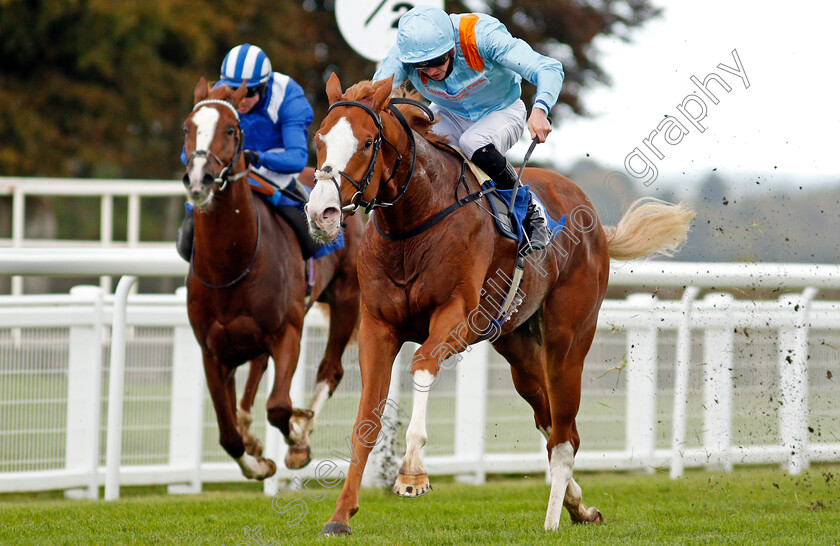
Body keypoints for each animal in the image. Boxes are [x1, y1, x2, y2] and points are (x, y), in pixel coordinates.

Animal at [180, 78, 364, 478]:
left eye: (230, 130)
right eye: (187, 128)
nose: (199, 179)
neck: (231, 267)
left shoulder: (287, 332)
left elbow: (278, 406)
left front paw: (297, 437)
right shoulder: (211, 352)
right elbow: (228, 433)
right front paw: (257, 462)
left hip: (347, 298)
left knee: (330, 370)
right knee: (252, 382)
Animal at [306, 74, 692, 532]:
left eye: (367, 142)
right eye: (319, 139)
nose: (321, 212)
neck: (414, 222)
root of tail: (593, 216)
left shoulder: (456, 318)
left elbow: (422, 365)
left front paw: (412, 474)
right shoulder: (377, 327)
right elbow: (366, 420)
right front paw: (340, 515)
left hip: (568, 338)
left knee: (565, 434)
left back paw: (553, 519)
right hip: (517, 346)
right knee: (551, 422)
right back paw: (579, 506)